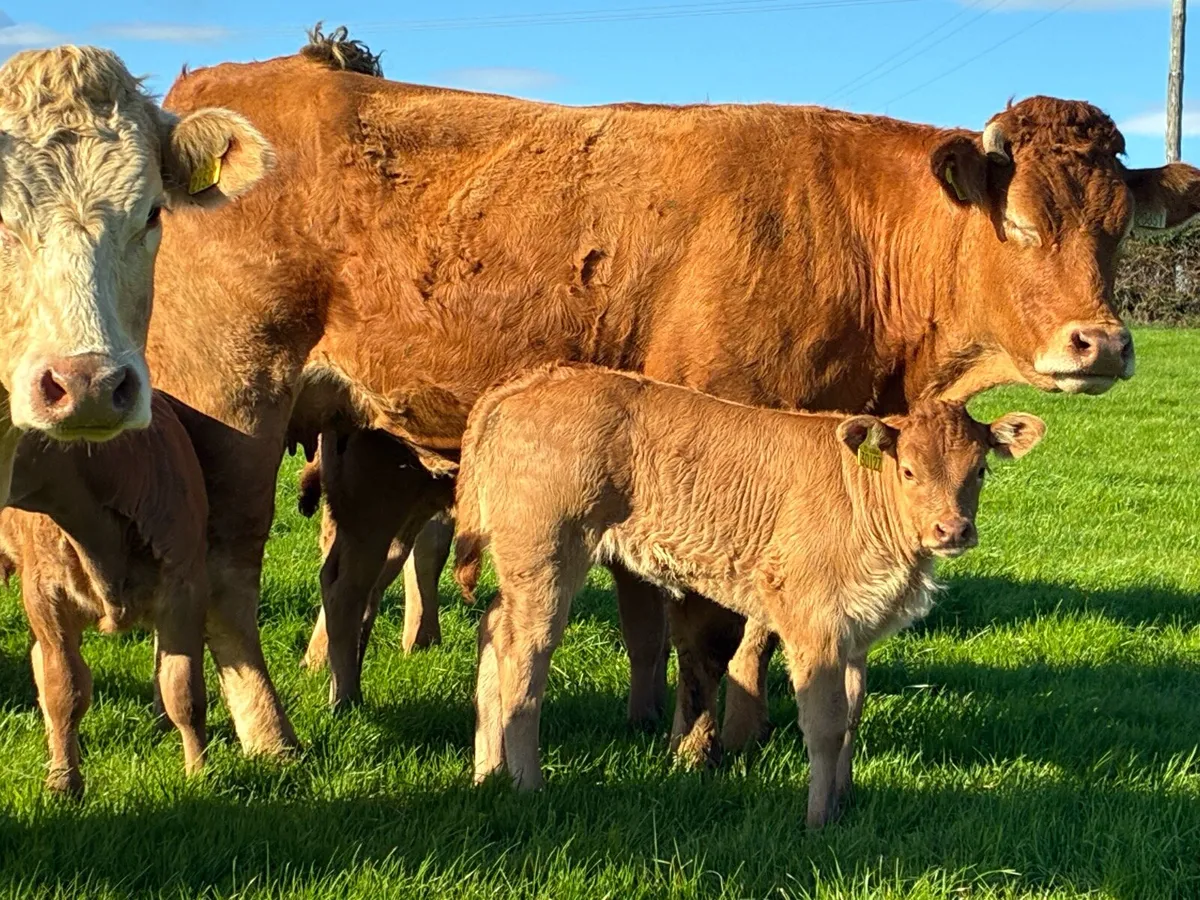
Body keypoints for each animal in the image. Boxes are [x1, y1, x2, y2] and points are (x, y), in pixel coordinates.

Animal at [0, 393, 210, 797]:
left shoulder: (186, 588)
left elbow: (183, 688)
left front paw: (199, 774)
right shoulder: (44, 596)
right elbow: (64, 687)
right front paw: (64, 781)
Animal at [145, 28, 1196, 761]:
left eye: (1119, 226)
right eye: (1017, 222)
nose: (1101, 342)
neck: (851, 232)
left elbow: (734, 622)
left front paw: (734, 728)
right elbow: (706, 621)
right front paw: (704, 742)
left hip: (356, 448)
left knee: (334, 574)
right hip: (232, 398)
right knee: (229, 572)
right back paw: (271, 737)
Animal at [452, 364, 1046, 828]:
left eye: (980, 469)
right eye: (908, 470)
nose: (953, 529)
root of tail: (529, 382)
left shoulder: (855, 633)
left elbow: (852, 715)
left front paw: (846, 801)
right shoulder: (814, 624)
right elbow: (824, 724)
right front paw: (817, 821)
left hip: (522, 565)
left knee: (494, 626)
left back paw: (487, 771)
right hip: (546, 554)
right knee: (526, 655)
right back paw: (528, 784)